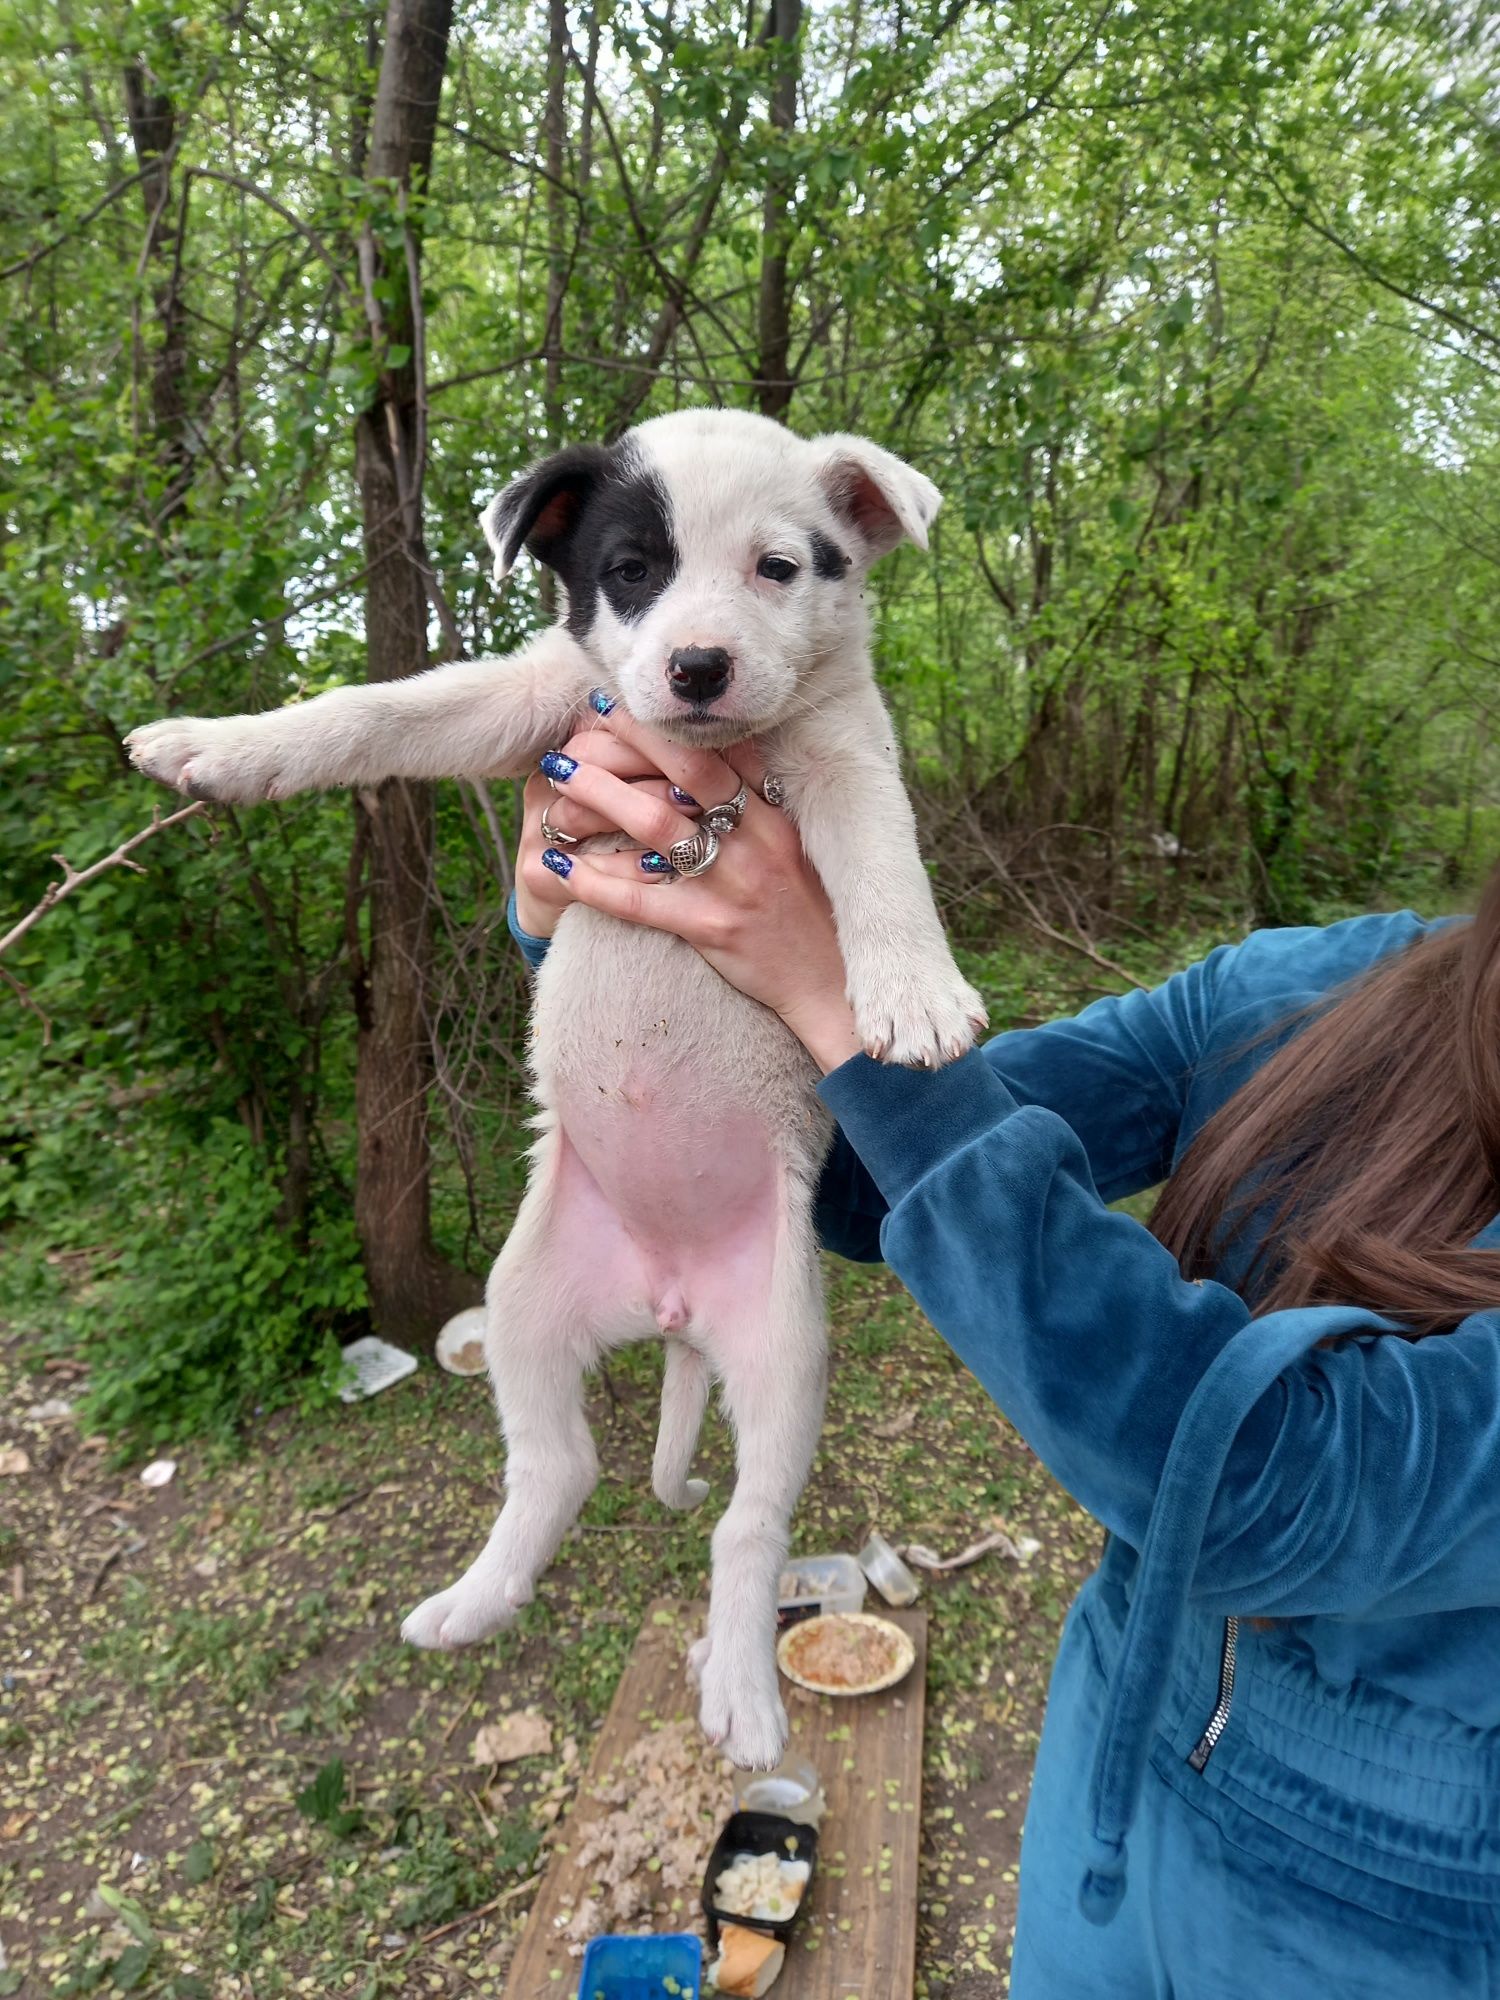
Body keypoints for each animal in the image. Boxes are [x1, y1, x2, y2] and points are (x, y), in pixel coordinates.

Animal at [129, 410, 988, 1768]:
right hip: (523, 1300)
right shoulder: (532, 700)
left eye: (780, 568)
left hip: (786, 1355)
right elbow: (373, 709)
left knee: (744, 1526)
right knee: (557, 1465)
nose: (697, 666)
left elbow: (882, 863)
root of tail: (671, 1300)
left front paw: (913, 990)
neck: (706, 750)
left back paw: (743, 1693)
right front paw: (218, 744)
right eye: (630, 568)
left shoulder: (849, 757)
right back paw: (476, 1601)